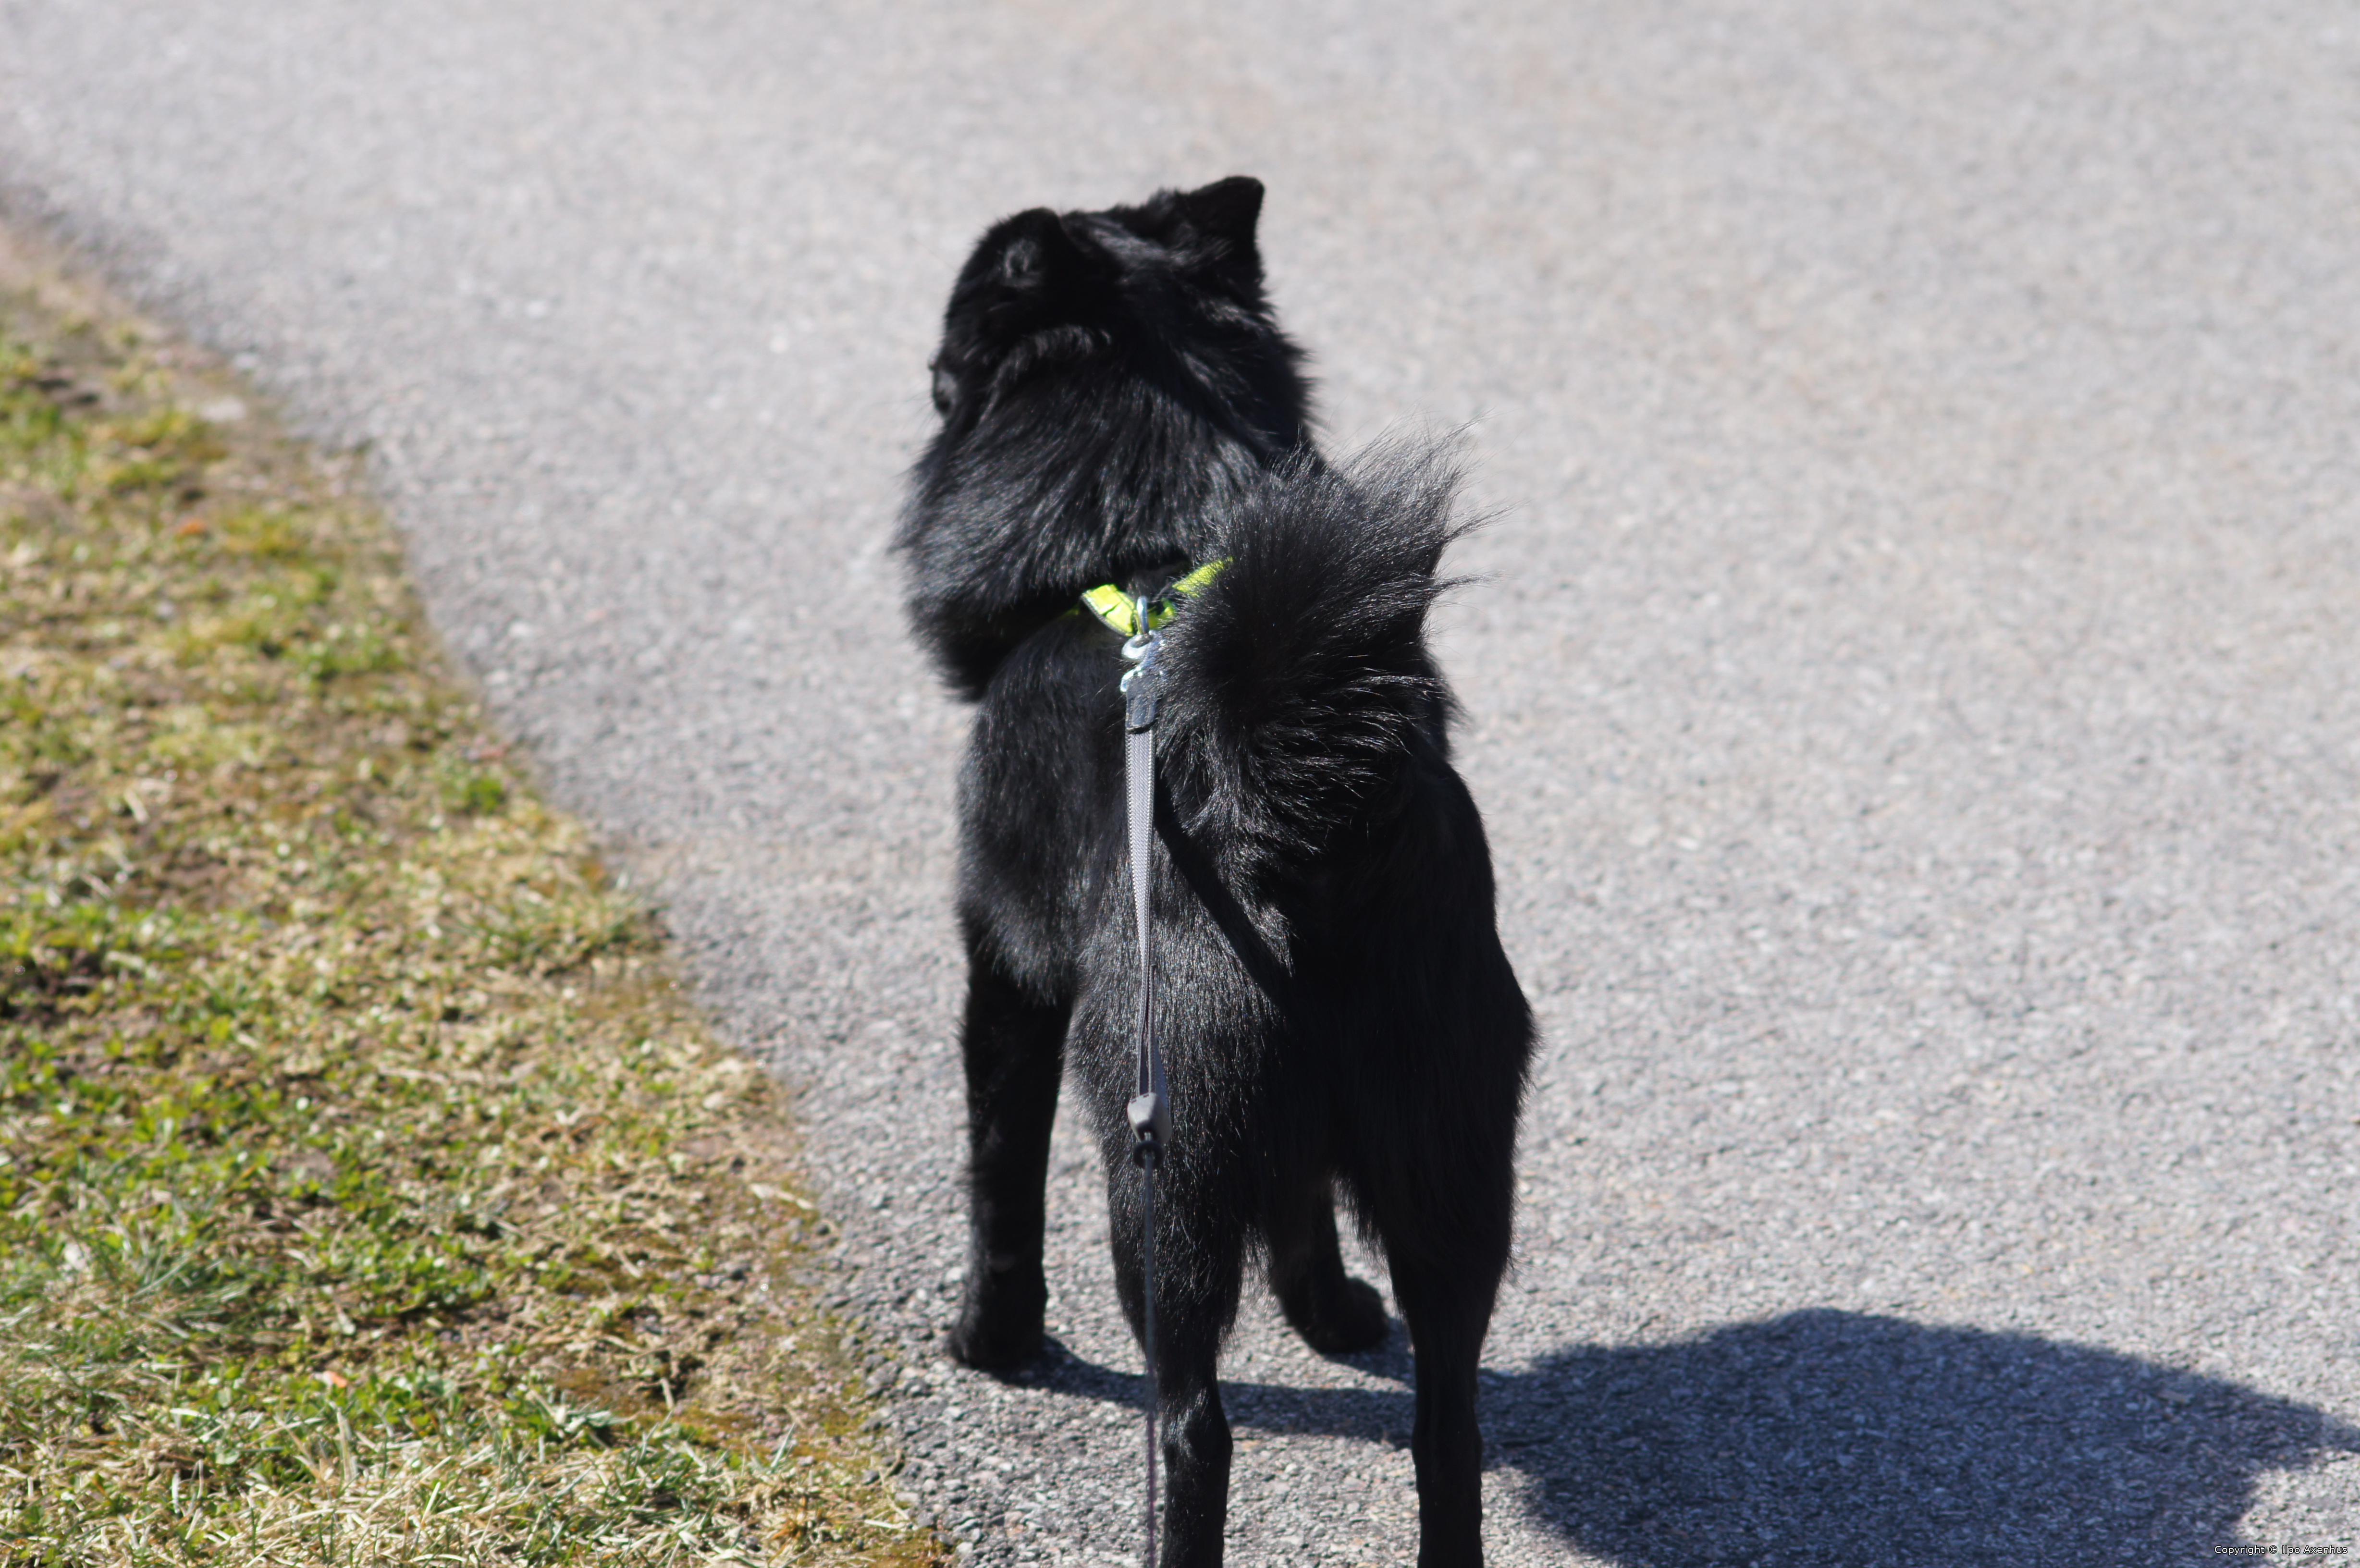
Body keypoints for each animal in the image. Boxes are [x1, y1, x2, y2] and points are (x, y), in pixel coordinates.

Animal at [897, 176, 1533, 1567]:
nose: (926, 370)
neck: (1142, 539)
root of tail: (1312, 824)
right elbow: (1302, 1206)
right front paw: (1330, 1310)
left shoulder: (1003, 970)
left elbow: (997, 1171)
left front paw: (991, 1337)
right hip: (1450, 1143)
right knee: (1447, 1427)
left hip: (1160, 1161)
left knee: (1192, 1425)